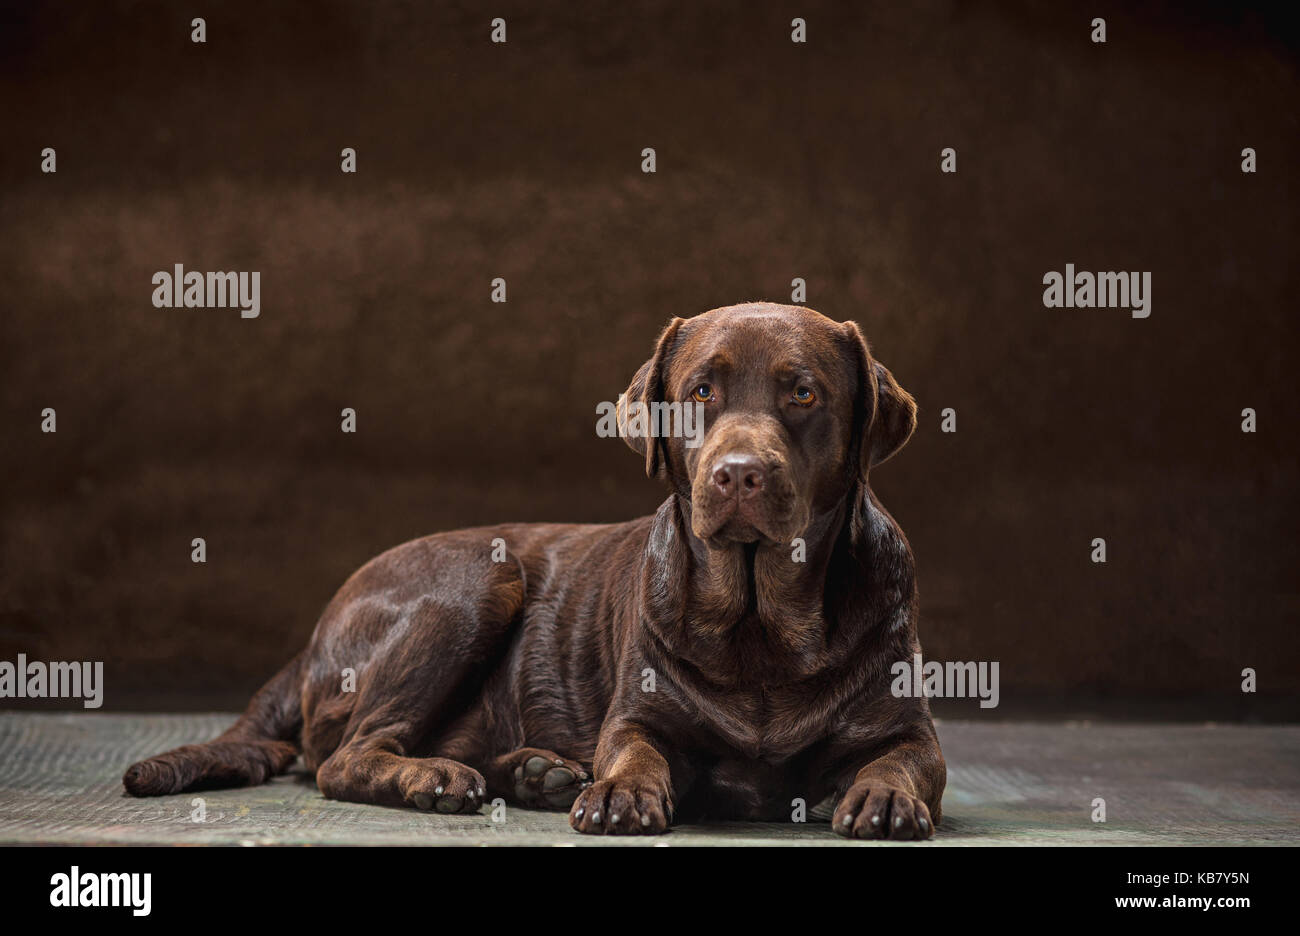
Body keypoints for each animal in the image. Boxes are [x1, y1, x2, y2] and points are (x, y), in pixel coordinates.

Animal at [124, 302, 946, 837]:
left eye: (803, 392)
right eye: (701, 392)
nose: (738, 474)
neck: (761, 624)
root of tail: (312, 639)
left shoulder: (911, 732)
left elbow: (904, 762)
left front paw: (884, 798)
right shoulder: (639, 716)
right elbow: (634, 751)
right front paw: (619, 792)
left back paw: (536, 774)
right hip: (474, 585)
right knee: (347, 757)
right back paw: (441, 779)